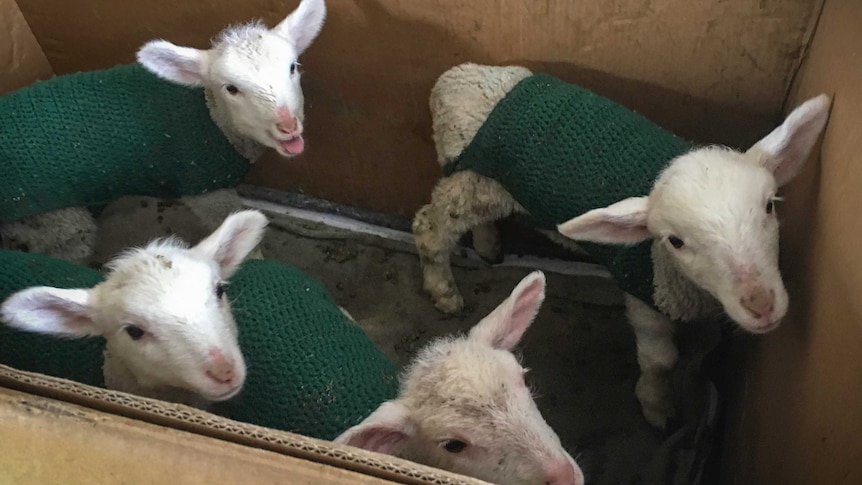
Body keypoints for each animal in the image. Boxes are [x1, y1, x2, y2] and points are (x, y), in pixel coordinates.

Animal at [0, 0, 330, 264]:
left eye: (292, 67)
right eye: (231, 89)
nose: (287, 126)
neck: (214, 117)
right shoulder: (206, 189)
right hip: (53, 217)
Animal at [416, 61, 832, 428]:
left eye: (769, 206)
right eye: (675, 241)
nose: (761, 305)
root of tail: (452, 79)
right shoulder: (644, 292)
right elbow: (661, 359)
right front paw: (657, 406)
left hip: (480, 182)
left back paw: (488, 247)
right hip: (473, 181)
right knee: (429, 228)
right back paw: (445, 291)